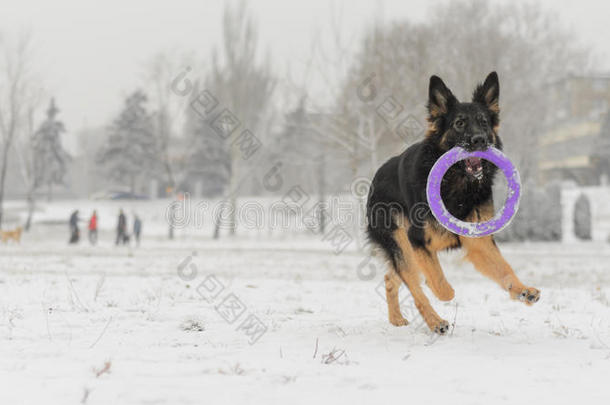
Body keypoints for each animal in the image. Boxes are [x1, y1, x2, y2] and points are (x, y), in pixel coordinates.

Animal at [364, 71, 540, 332]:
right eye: (459, 123)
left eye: (484, 122)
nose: (479, 141)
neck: (457, 183)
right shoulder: (418, 241)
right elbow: (438, 283)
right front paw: (444, 291)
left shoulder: (479, 241)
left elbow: (503, 268)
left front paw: (522, 290)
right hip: (402, 246)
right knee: (415, 287)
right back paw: (435, 321)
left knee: (391, 278)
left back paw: (396, 318)